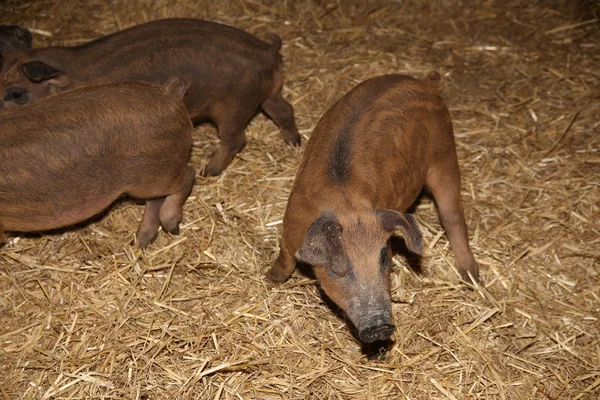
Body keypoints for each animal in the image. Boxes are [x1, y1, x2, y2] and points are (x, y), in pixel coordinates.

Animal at [0, 18, 300, 175]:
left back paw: (208, 170)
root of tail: (268, 50)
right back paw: (294, 142)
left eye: (16, 93)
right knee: (284, 109)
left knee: (236, 138)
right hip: (268, 93)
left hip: (233, 106)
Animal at [0, 78, 196, 248]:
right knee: (156, 200)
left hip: (155, 175)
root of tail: (170, 94)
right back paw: (139, 243)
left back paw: (172, 227)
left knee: (189, 174)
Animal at [266, 73, 478, 342]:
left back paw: (473, 279)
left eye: (384, 257)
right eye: (342, 267)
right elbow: (284, 263)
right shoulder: (290, 229)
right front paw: (269, 280)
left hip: (444, 151)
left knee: (452, 215)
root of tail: (422, 82)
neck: (345, 205)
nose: (380, 327)